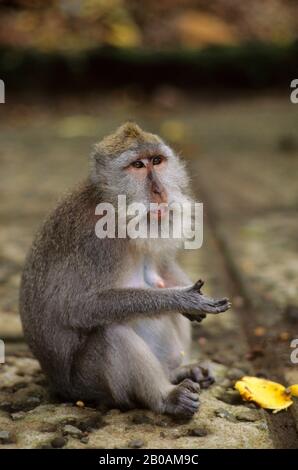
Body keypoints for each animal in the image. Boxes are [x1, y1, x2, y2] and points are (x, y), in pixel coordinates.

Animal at [19, 123, 230, 416]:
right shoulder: (96, 243)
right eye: (137, 165)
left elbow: (165, 269)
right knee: (112, 333)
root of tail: (58, 385)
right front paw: (183, 299)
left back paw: (179, 372)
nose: (159, 192)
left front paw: (185, 303)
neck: (118, 209)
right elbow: (78, 307)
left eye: (156, 161)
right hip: (86, 385)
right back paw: (166, 397)